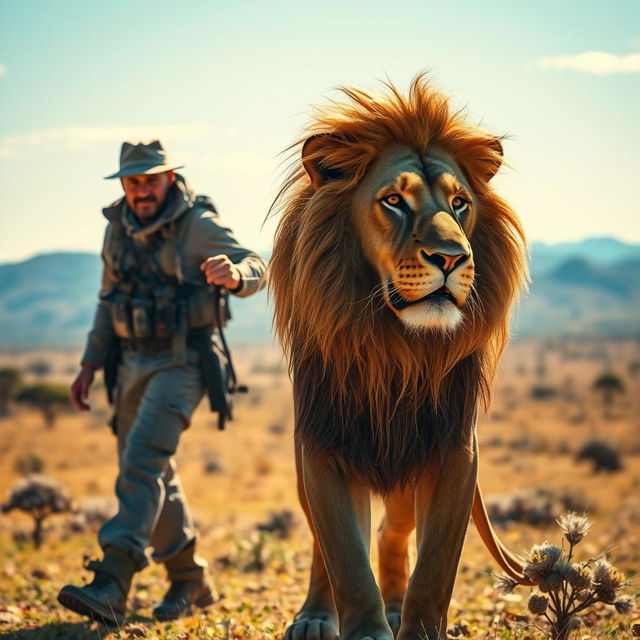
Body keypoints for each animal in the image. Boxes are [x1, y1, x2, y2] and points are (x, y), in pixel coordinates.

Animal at [272, 77, 536, 640]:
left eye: (460, 203)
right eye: (394, 200)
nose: (452, 258)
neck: (396, 350)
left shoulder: (454, 450)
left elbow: (435, 565)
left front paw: (413, 625)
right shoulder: (323, 444)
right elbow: (343, 555)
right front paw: (363, 626)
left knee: (392, 533)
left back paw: (394, 606)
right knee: (324, 547)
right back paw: (315, 616)